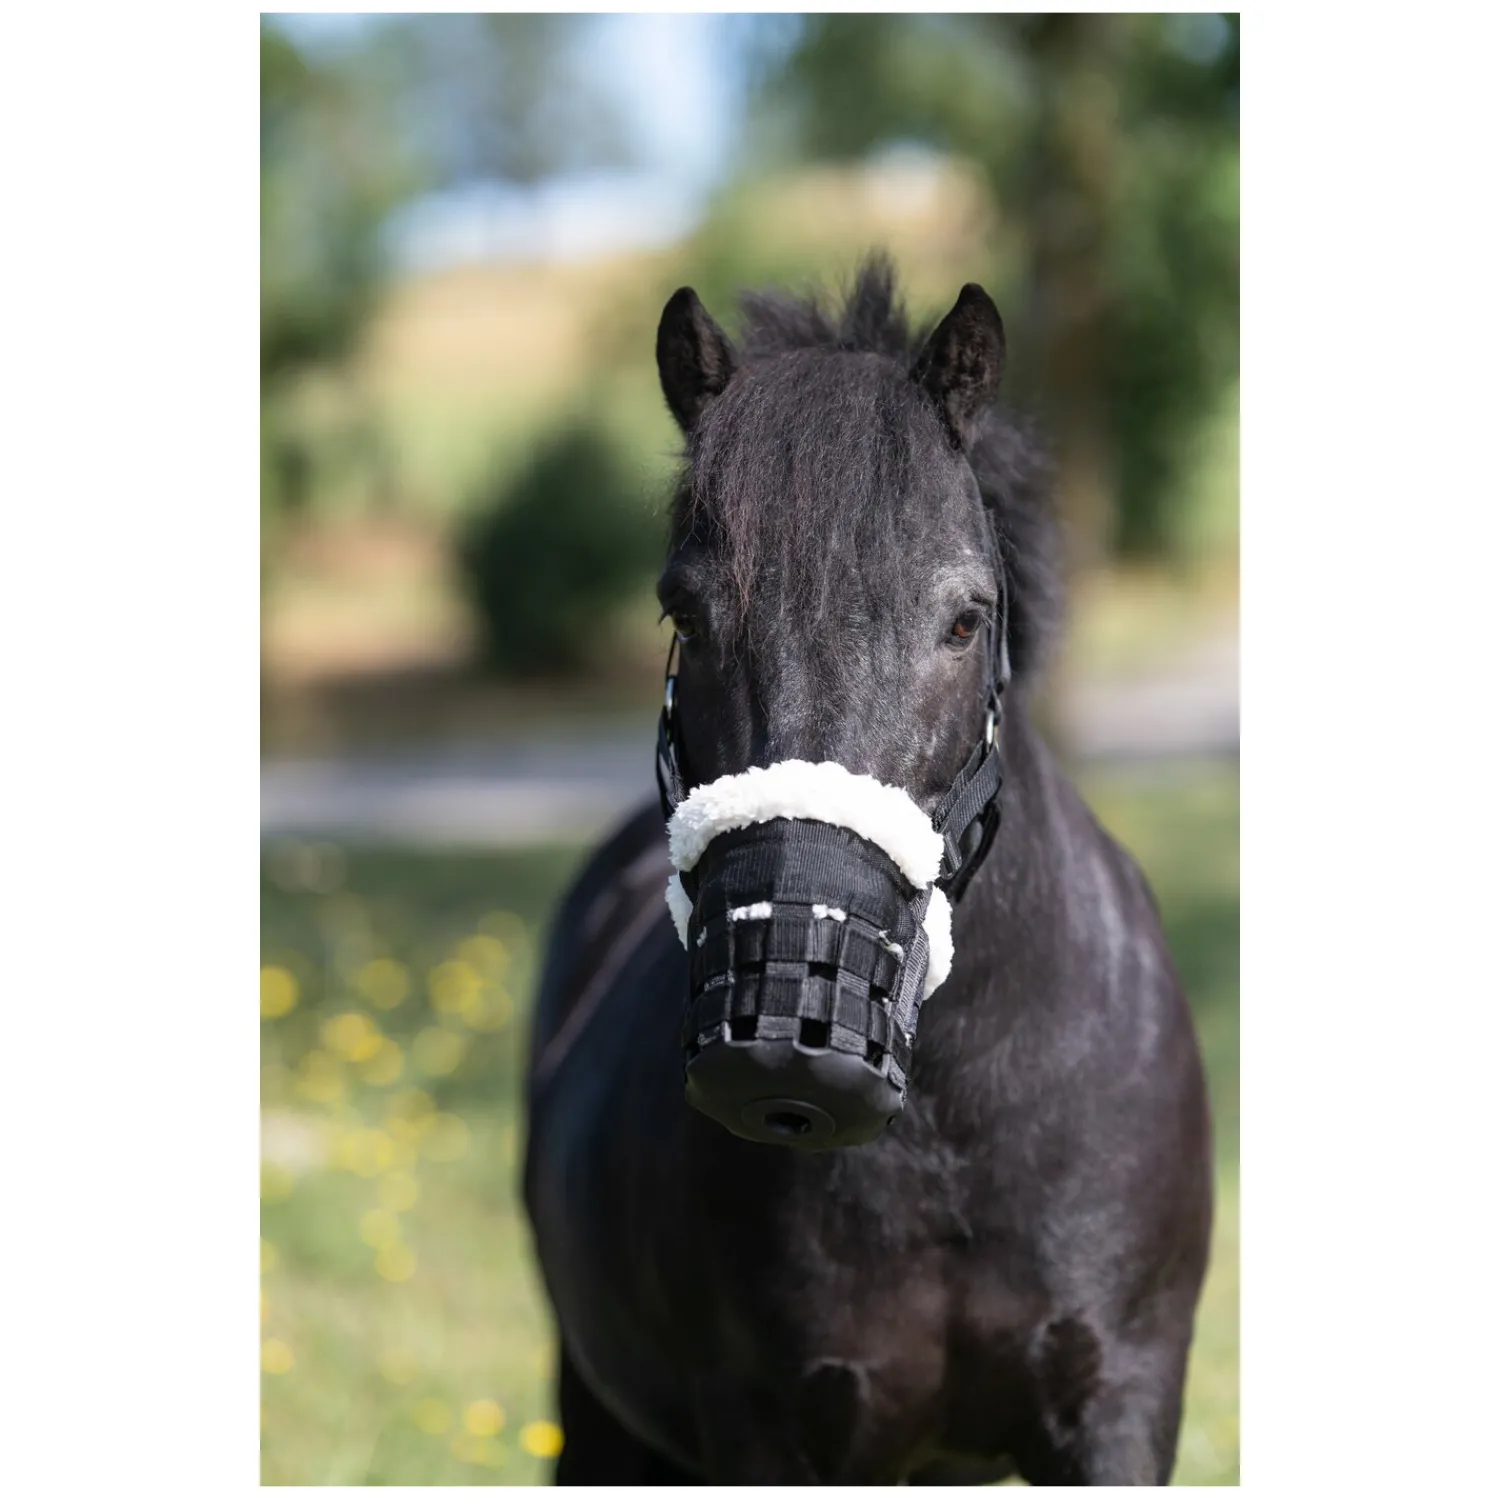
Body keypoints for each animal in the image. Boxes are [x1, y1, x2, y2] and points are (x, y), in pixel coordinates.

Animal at [521, 258, 1213, 1485]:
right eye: (683, 613)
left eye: (965, 619)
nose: (782, 1042)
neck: (951, 1128)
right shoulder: (770, 1429)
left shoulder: (1120, 1407)